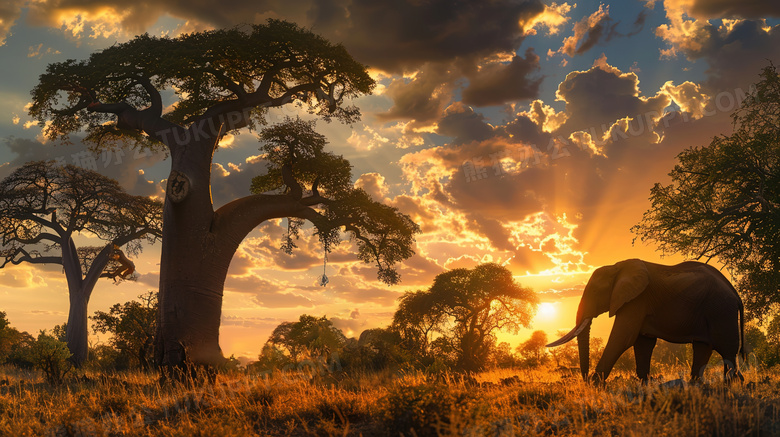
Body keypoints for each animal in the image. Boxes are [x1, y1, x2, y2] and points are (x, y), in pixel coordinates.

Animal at [544, 258, 748, 382]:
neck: (617, 267)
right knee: (703, 348)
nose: (585, 380)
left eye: (595, 291)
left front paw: (596, 386)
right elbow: (643, 343)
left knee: (728, 352)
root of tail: (735, 294)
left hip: (721, 310)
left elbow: (622, 339)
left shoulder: (636, 300)